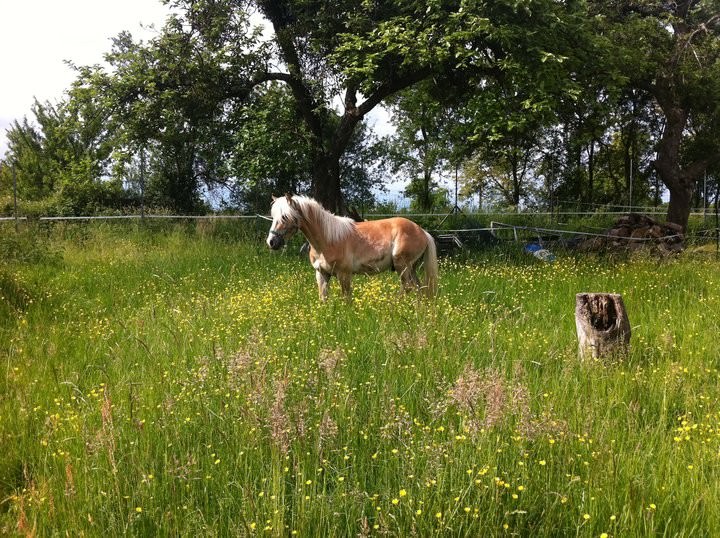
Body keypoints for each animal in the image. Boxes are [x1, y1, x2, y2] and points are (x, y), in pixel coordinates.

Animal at [262, 194, 436, 302]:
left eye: (285, 217)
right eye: (273, 216)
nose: (272, 242)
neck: (327, 240)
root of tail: (422, 231)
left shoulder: (344, 274)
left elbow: (347, 299)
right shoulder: (322, 274)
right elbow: (323, 299)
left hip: (403, 267)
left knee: (408, 288)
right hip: (411, 268)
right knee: (420, 289)